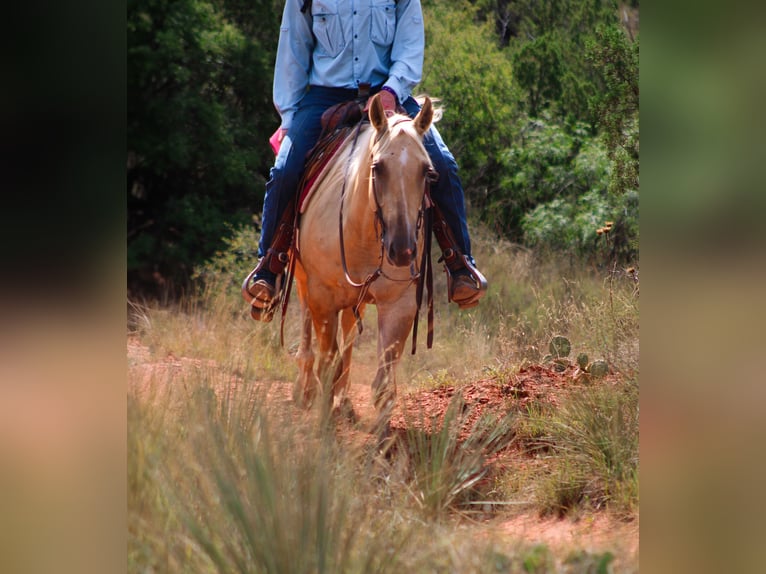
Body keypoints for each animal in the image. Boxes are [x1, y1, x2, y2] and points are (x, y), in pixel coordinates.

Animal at [291, 93, 436, 433]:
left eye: (426, 170)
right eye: (378, 167)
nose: (402, 250)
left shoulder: (399, 304)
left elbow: (383, 385)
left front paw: (382, 440)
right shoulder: (322, 298)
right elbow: (327, 364)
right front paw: (324, 427)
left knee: (347, 336)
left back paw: (343, 402)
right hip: (303, 278)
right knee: (306, 323)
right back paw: (305, 390)